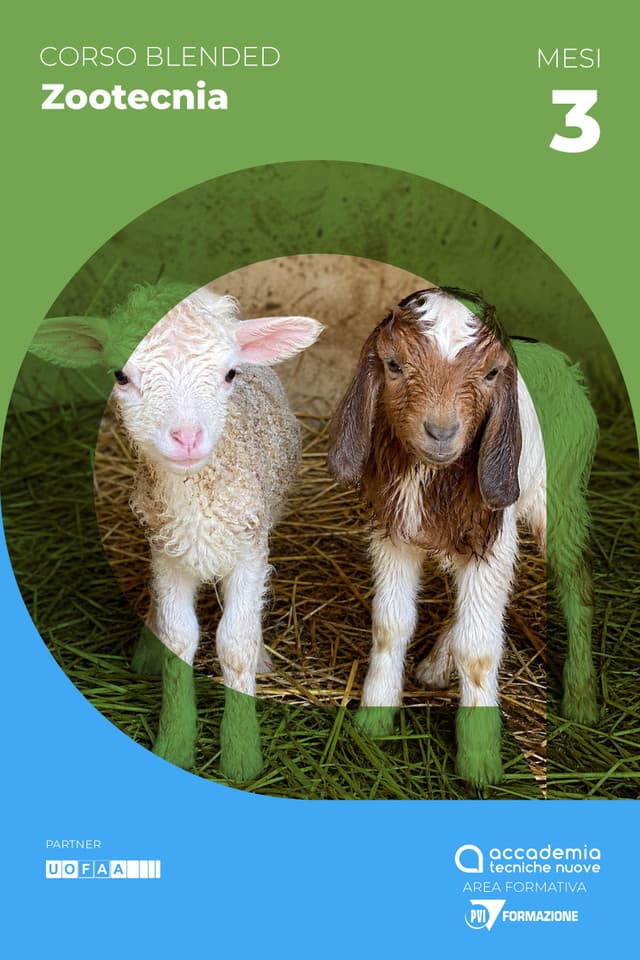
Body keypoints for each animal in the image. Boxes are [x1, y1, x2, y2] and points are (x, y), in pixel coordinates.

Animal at [327, 286, 599, 786]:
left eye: (491, 373)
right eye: (393, 364)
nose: (441, 431)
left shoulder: (492, 535)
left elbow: (480, 647)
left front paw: (479, 760)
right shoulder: (394, 532)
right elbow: (390, 624)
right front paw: (373, 719)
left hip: (560, 495)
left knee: (577, 582)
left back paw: (582, 697)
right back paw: (436, 664)